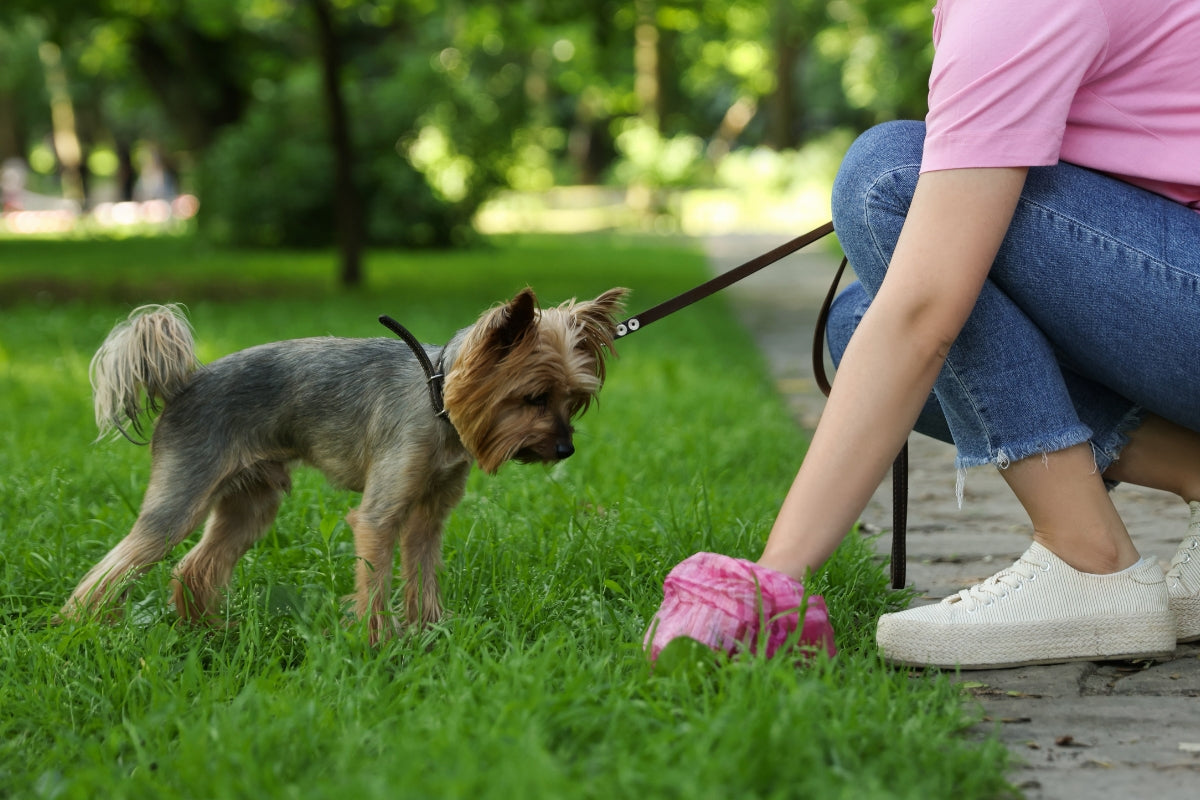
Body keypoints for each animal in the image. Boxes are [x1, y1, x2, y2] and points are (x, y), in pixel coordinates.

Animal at [60, 287, 628, 642]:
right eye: (533, 398)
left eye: (573, 401)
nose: (565, 450)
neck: (437, 395)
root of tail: (184, 383)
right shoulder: (380, 514)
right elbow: (374, 581)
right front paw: (379, 646)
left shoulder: (428, 515)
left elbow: (422, 573)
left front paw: (430, 631)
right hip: (182, 496)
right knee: (116, 566)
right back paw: (80, 629)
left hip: (252, 502)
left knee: (195, 566)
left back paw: (209, 632)